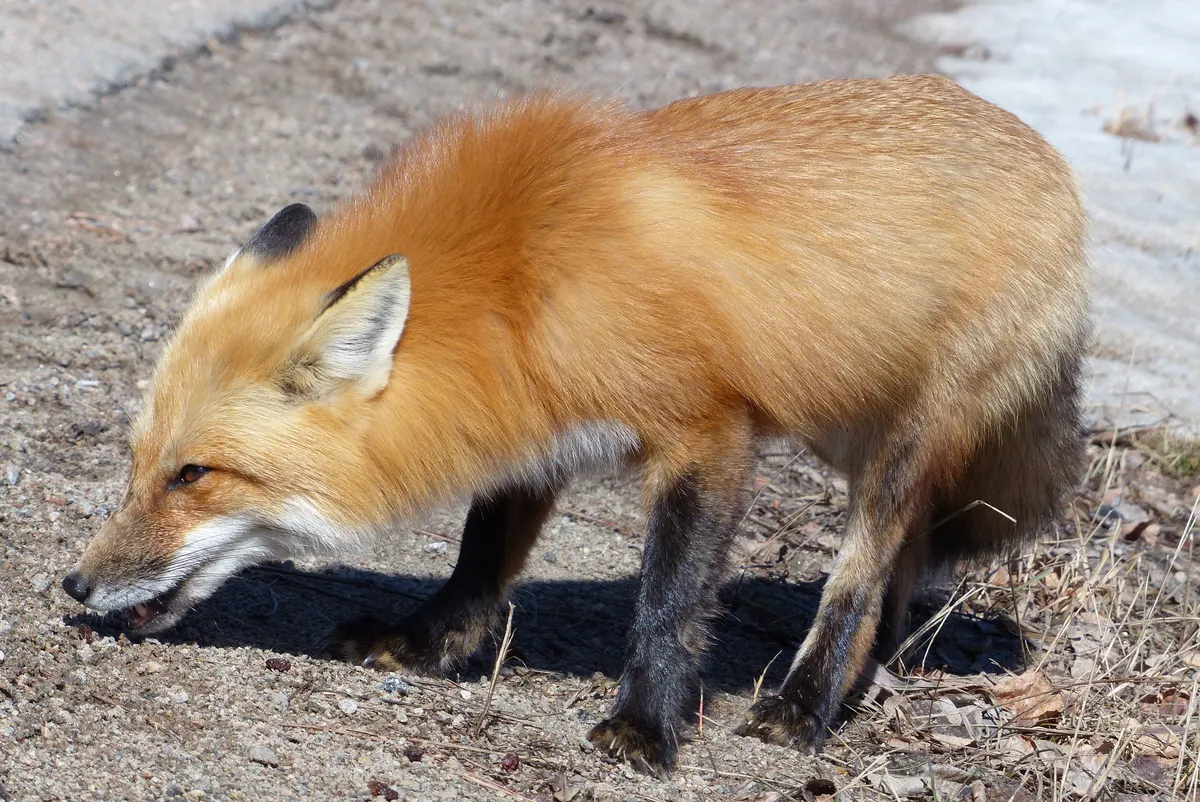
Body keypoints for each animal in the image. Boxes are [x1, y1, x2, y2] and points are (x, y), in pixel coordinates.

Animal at [61, 74, 1088, 775]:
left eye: (193, 475)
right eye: (139, 463)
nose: (75, 585)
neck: (521, 276)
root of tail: (1046, 153)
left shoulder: (708, 434)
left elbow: (669, 600)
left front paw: (645, 725)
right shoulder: (530, 423)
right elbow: (480, 557)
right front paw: (428, 645)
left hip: (903, 443)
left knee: (863, 571)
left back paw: (805, 702)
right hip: (847, 419)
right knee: (904, 568)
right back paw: (866, 674)